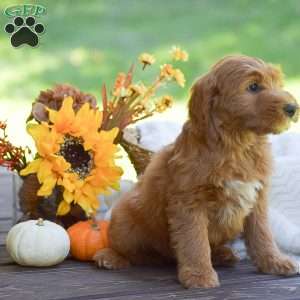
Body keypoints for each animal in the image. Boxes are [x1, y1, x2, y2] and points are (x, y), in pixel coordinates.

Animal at [94, 55, 298, 288]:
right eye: (253, 87)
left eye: (277, 83)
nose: (292, 108)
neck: (237, 145)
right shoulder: (189, 202)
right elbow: (195, 241)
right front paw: (199, 275)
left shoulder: (257, 198)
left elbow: (262, 234)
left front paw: (275, 261)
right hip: (124, 220)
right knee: (124, 247)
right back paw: (110, 257)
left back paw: (222, 254)